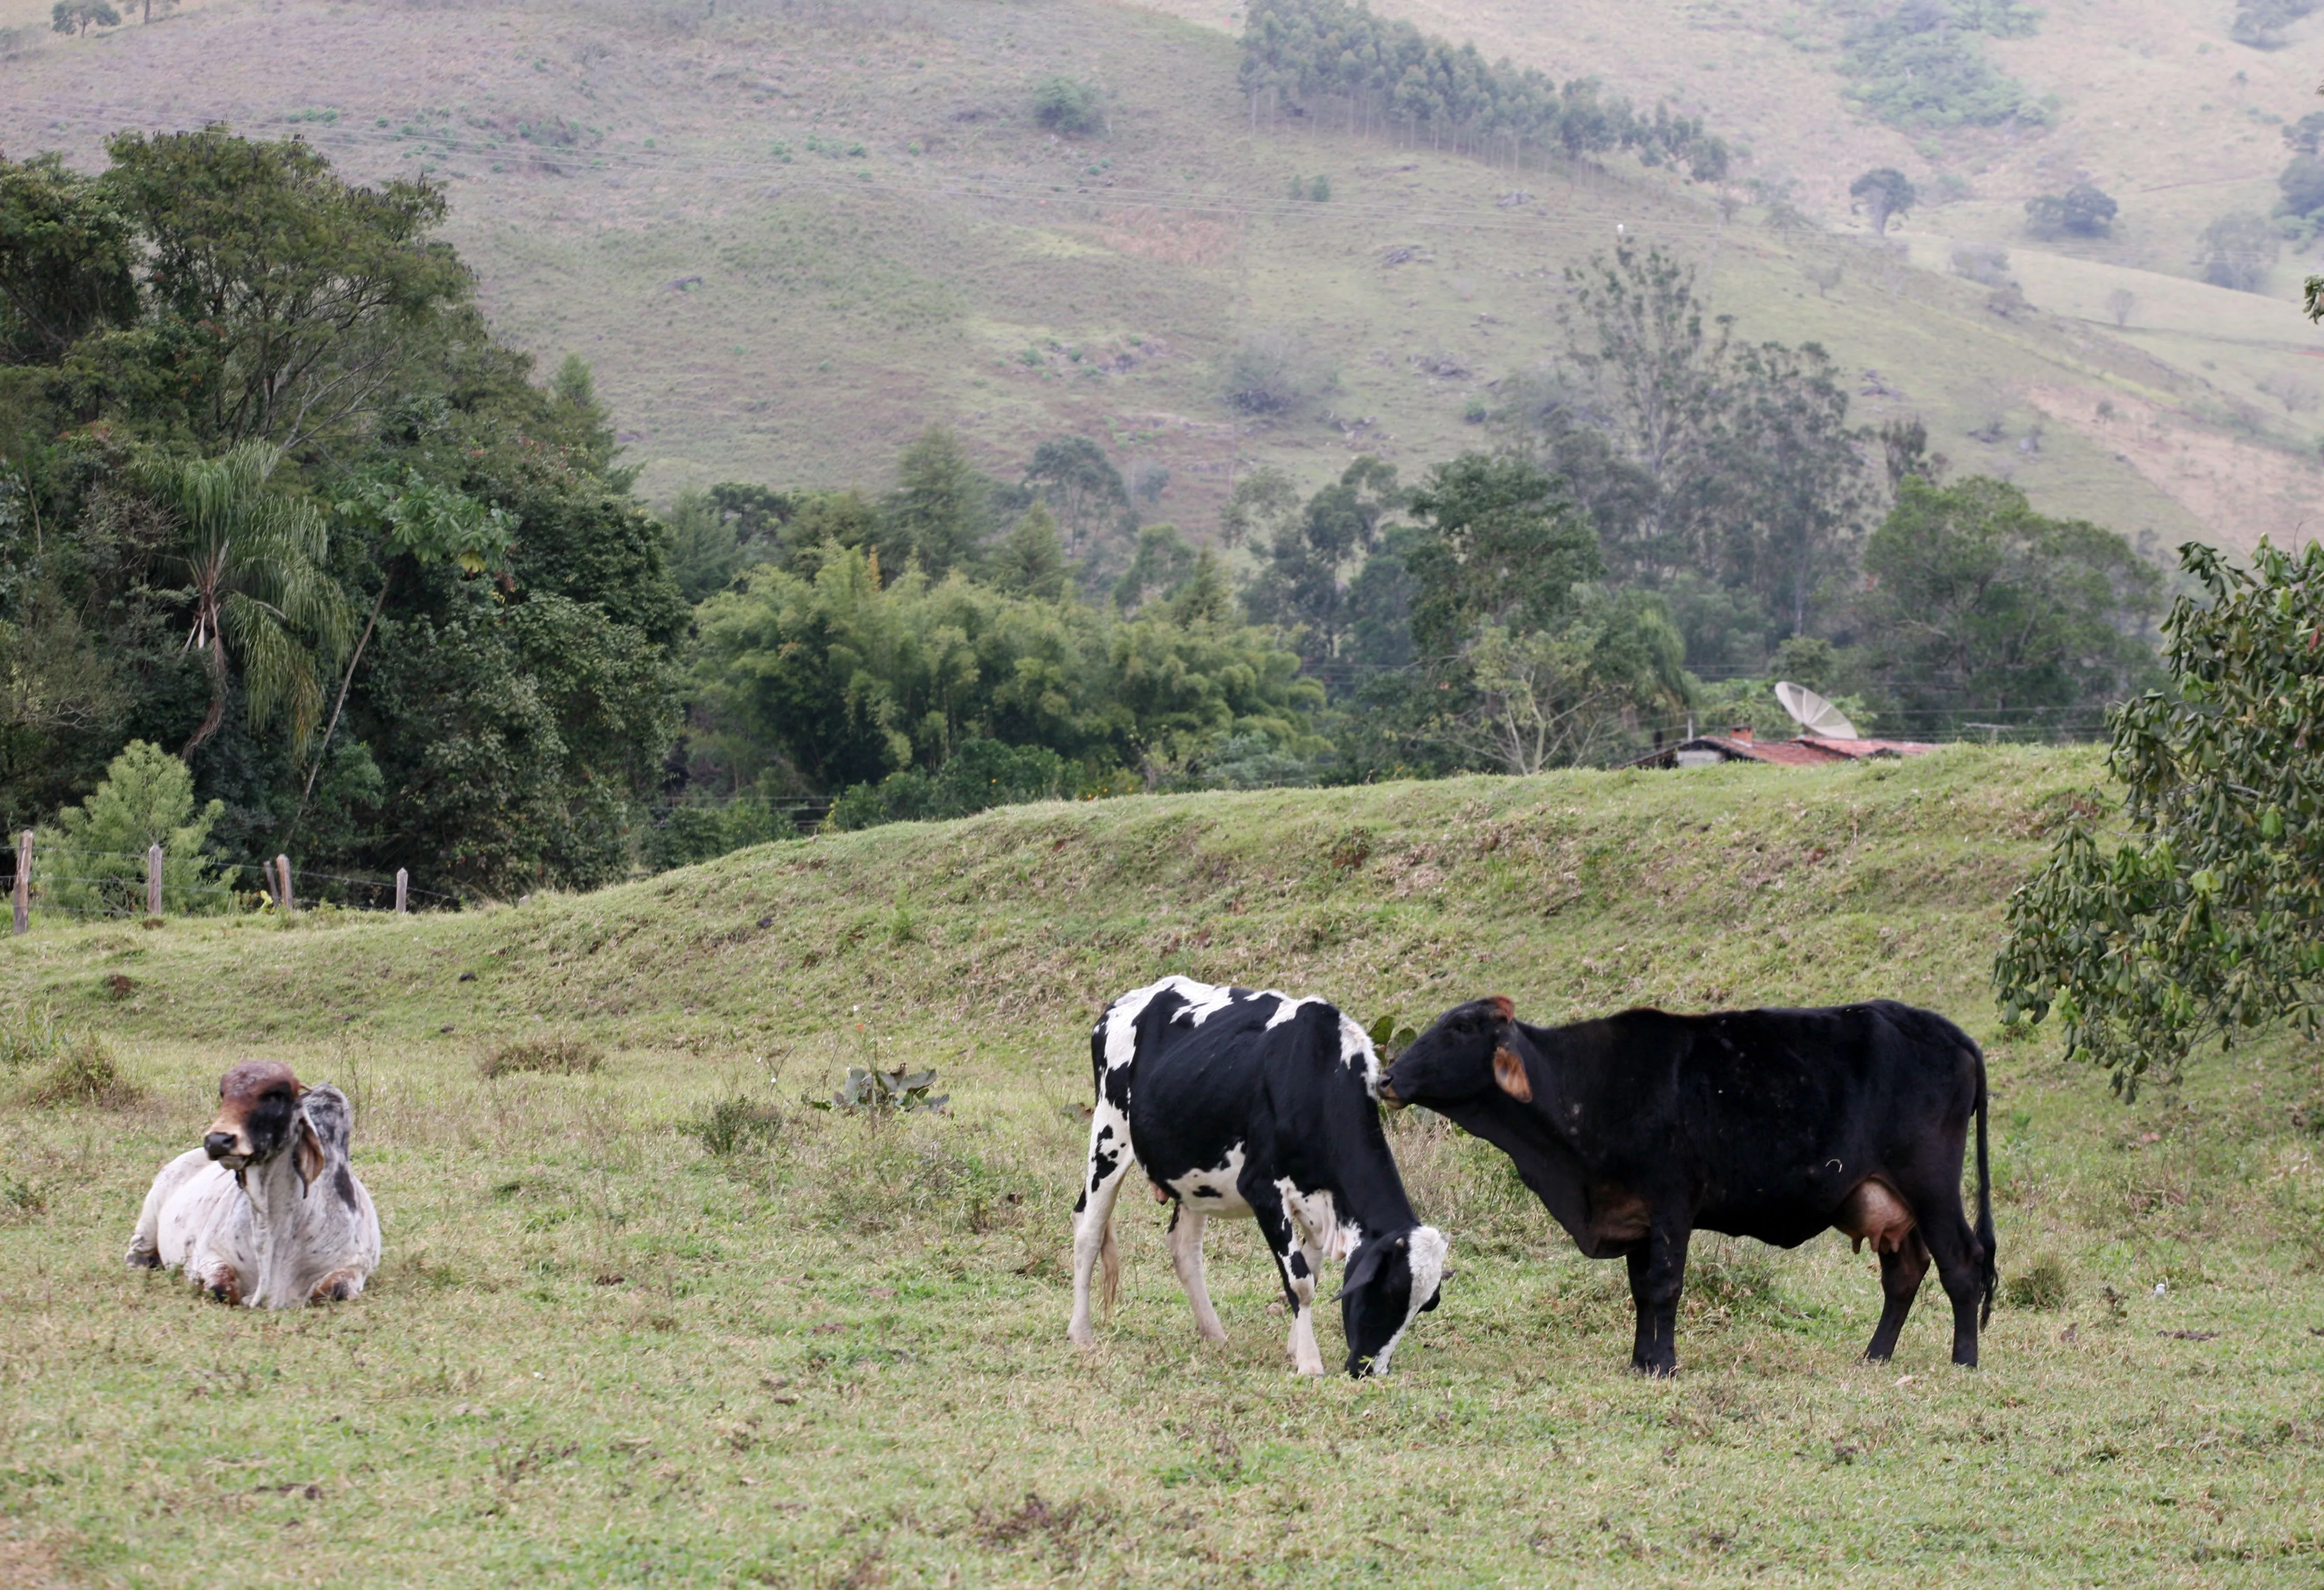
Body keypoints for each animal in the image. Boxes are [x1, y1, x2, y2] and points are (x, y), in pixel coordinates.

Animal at [126, 1060, 376, 1311]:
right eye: (224, 1094)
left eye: (275, 1096)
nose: (217, 1141)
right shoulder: (211, 1256)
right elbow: (221, 1288)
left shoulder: (353, 1267)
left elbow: (333, 1291)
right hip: (150, 1216)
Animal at [1073, 976, 1450, 1376]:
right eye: (1389, 1291)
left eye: (1426, 1305)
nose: (1369, 1371)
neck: (1318, 1074)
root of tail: (1125, 1001)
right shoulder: (1263, 1189)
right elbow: (1300, 1281)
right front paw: (1309, 1362)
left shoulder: (1318, 1203)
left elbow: (1311, 1272)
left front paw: (1295, 1348)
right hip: (1109, 1135)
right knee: (1088, 1230)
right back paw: (1081, 1333)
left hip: (1193, 1171)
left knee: (1184, 1247)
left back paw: (1214, 1333)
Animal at [1375, 999, 1998, 1376]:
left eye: (1460, 1028)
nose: (1387, 1077)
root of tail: (1948, 1032)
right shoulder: (1635, 1217)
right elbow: (1640, 1291)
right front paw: (1640, 1360)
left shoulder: (1673, 1203)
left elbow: (1666, 1286)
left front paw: (1665, 1363)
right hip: (1884, 1197)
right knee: (1905, 1273)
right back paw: (1874, 1355)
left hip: (1931, 1184)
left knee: (1962, 1264)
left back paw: (1963, 1360)